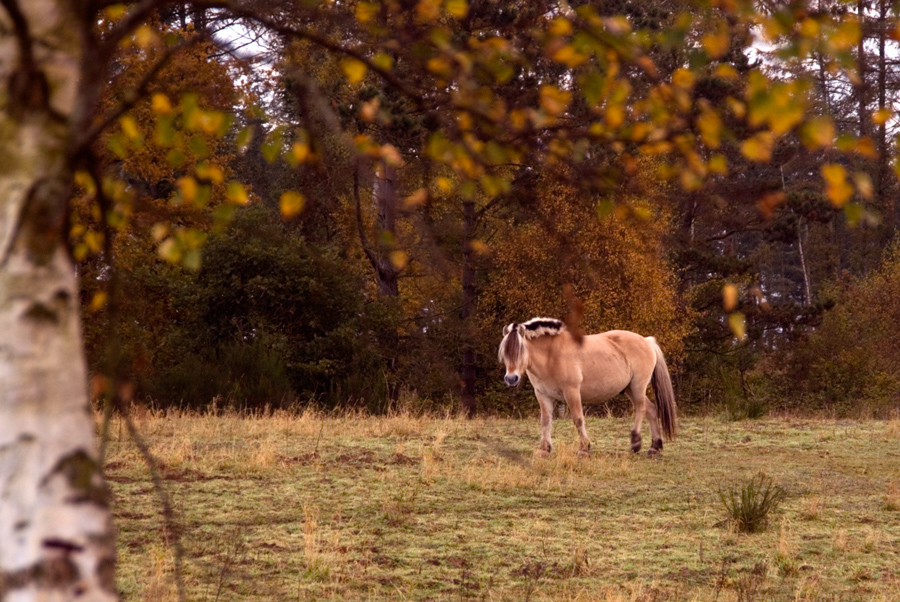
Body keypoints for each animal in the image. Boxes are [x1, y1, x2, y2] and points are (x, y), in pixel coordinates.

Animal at [496, 316, 680, 452]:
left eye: (520, 351)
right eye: (505, 352)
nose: (511, 379)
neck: (551, 355)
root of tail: (647, 341)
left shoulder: (572, 392)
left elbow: (578, 419)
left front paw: (584, 448)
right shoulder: (542, 395)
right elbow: (546, 420)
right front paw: (545, 449)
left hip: (638, 386)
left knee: (641, 409)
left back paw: (635, 441)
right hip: (629, 389)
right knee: (651, 410)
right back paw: (655, 447)